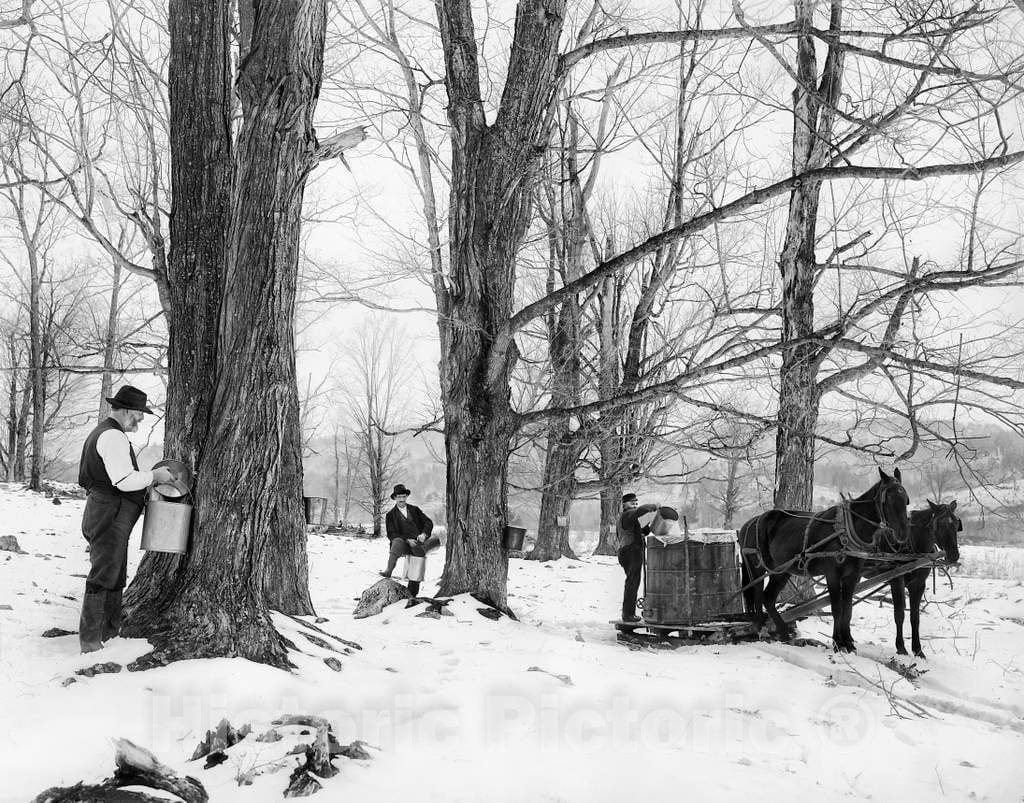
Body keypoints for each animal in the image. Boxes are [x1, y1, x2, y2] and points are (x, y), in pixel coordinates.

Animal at [737, 471, 913, 651]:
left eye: (906, 499)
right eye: (889, 499)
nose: (903, 535)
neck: (845, 530)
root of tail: (748, 524)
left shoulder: (852, 576)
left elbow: (847, 609)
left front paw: (848, 642)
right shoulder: (832, 573)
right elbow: (837, 608)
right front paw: (838, 642)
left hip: (782, 570)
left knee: (768, 598)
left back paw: (785, 633)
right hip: (756, 567)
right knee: (758, 594)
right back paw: (762, 630)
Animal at [888, 501, 958, 659]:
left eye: (957, 524)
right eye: (940, 524)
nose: (954, 555)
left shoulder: (918, 584)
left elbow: (915, 617)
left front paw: (918, 650)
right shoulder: (896, 580)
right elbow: (899, 613)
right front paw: (901, 648)